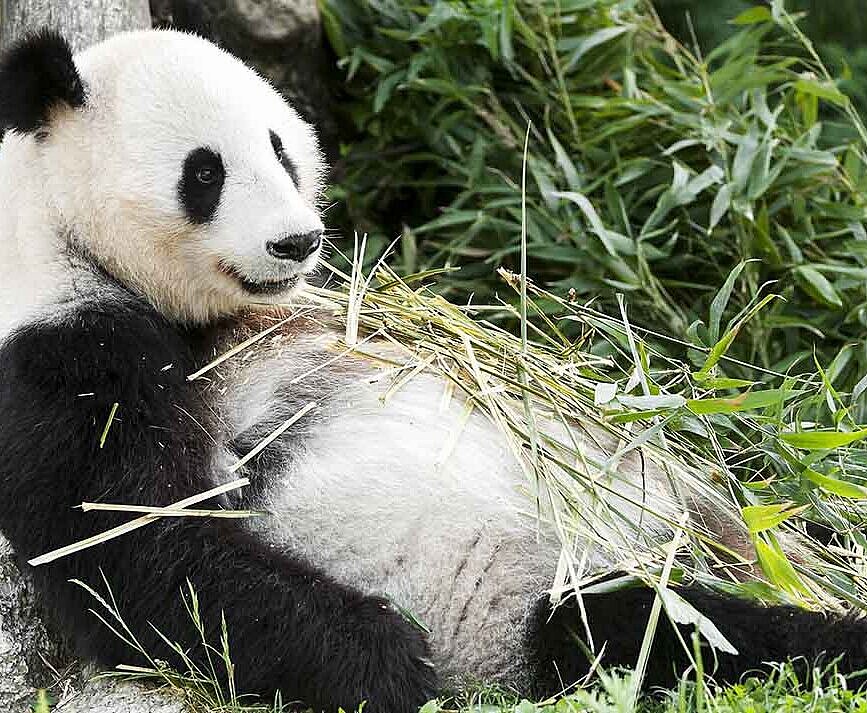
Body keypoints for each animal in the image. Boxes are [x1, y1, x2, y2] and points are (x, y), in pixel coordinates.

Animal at [1, 26, 867, 712]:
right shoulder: (60, 349)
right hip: (515, 608)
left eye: (280, 149)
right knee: (653, 629)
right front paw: (384, 661)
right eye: (203, 172)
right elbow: (136, 547)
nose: (296, 242)